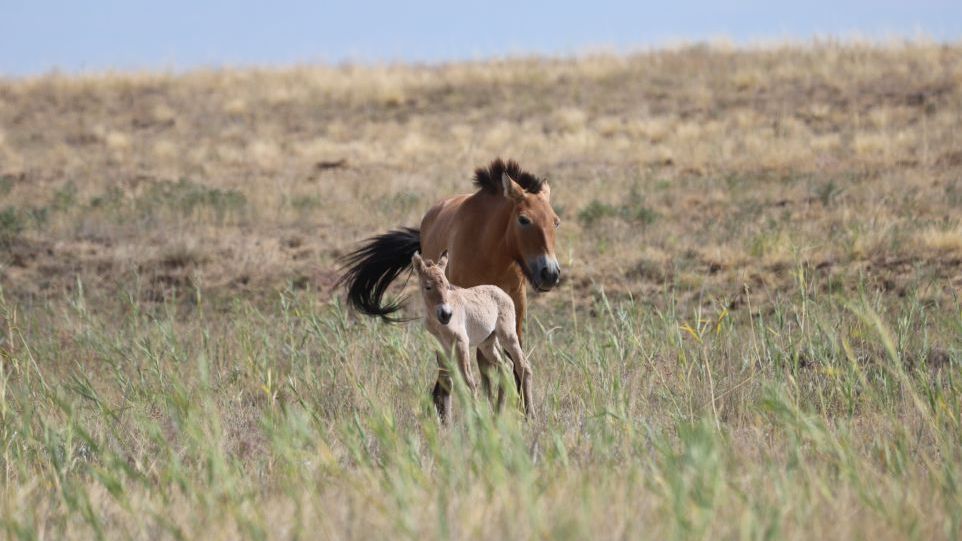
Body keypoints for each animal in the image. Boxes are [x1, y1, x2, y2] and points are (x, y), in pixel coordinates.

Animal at [411, 251, 532, 418]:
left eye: (447, 286)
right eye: (428, 286)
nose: (446, 315)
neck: (438, 325)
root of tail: (503, 293)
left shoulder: (461, 343)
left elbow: (468, 381)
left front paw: (477, 417)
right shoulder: (441, 348)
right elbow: (447, 383)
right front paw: (446, 421)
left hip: (507, 336)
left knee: (523, 366)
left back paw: (530, 415)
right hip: (487, 343)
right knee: (506, 367)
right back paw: (497, 415)